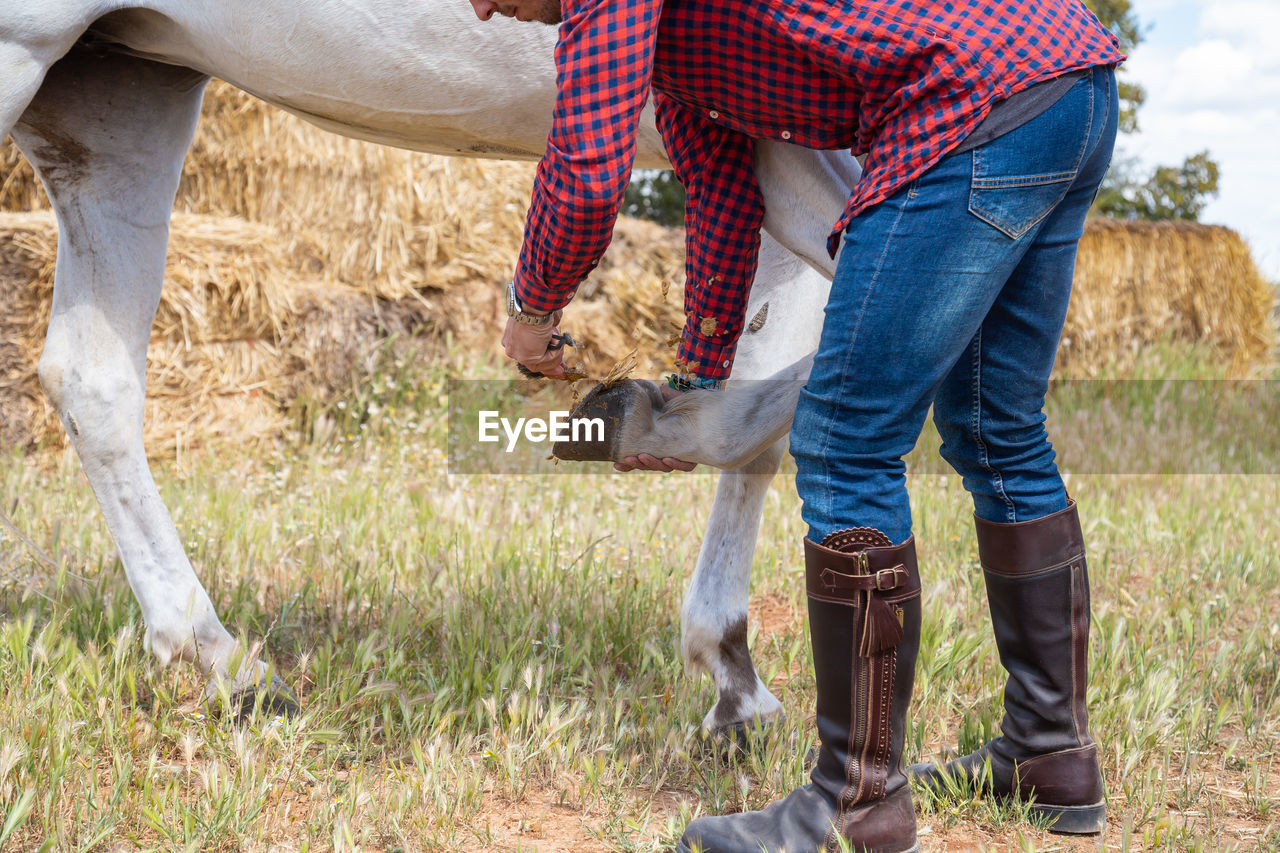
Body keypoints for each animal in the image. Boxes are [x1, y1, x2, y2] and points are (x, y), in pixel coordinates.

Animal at [2, 0, 849, 732]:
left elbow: (777, 407)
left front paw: (733, 675)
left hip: (117, 104)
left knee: (94, 383)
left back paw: (224, 664)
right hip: (30, 57)